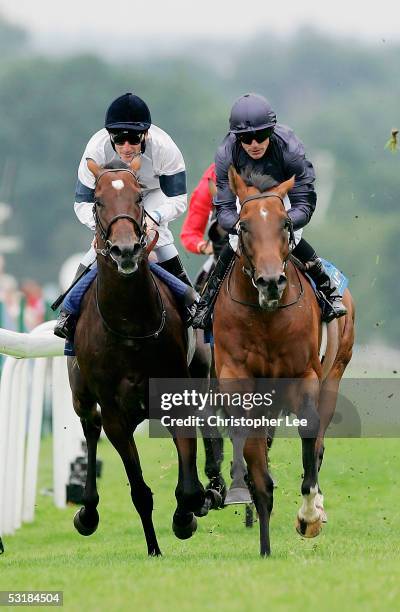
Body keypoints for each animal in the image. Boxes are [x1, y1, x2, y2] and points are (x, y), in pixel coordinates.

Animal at [67, 158, 208, 556]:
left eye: (139, 198)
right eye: (98, 200)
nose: (126, 250)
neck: (130, 326)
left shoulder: (177, 395)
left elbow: (188, 487)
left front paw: (187, 515)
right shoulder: (114, 411)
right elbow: (139, 491)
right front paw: (154, 547)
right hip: (82, 396)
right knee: (90, 427)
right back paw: (87, 512)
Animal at [214, 166, 354, 556]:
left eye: (285, 224)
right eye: (244, 225)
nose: (271, 281)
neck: (266, 316)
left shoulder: (304, 375)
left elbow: (309, 433)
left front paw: (308, 516)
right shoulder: (239, 383)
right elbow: (255, 457)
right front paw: (264, 543)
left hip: (334, 373)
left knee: (318, 442)